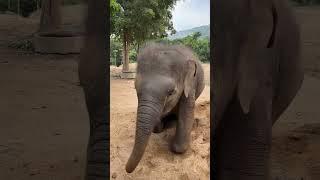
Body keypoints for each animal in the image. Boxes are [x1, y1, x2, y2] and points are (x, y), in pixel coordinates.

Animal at [125, 43, 205, 173]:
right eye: (136, 88)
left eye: (171, 92)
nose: (126, 169)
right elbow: (157, 128)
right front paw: (159, 126)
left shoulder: (191, 85)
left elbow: (186, 113)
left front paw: (175, 145)